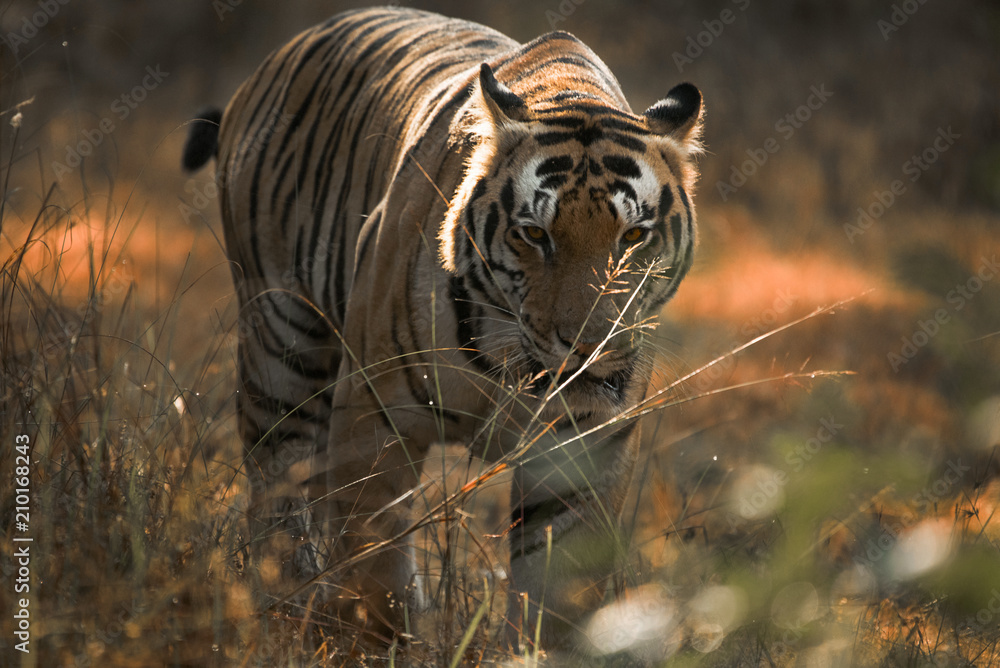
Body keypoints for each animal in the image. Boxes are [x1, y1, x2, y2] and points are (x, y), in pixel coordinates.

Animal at [182, 6, 702, 650]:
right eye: (535, 234)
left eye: (633, 236)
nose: (586, 346)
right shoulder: (374, 419)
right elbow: (377, 570)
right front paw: (385, 646)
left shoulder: (583, 452)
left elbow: (556, 595)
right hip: (281, 348)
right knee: (277, 490)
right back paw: (288, 606)